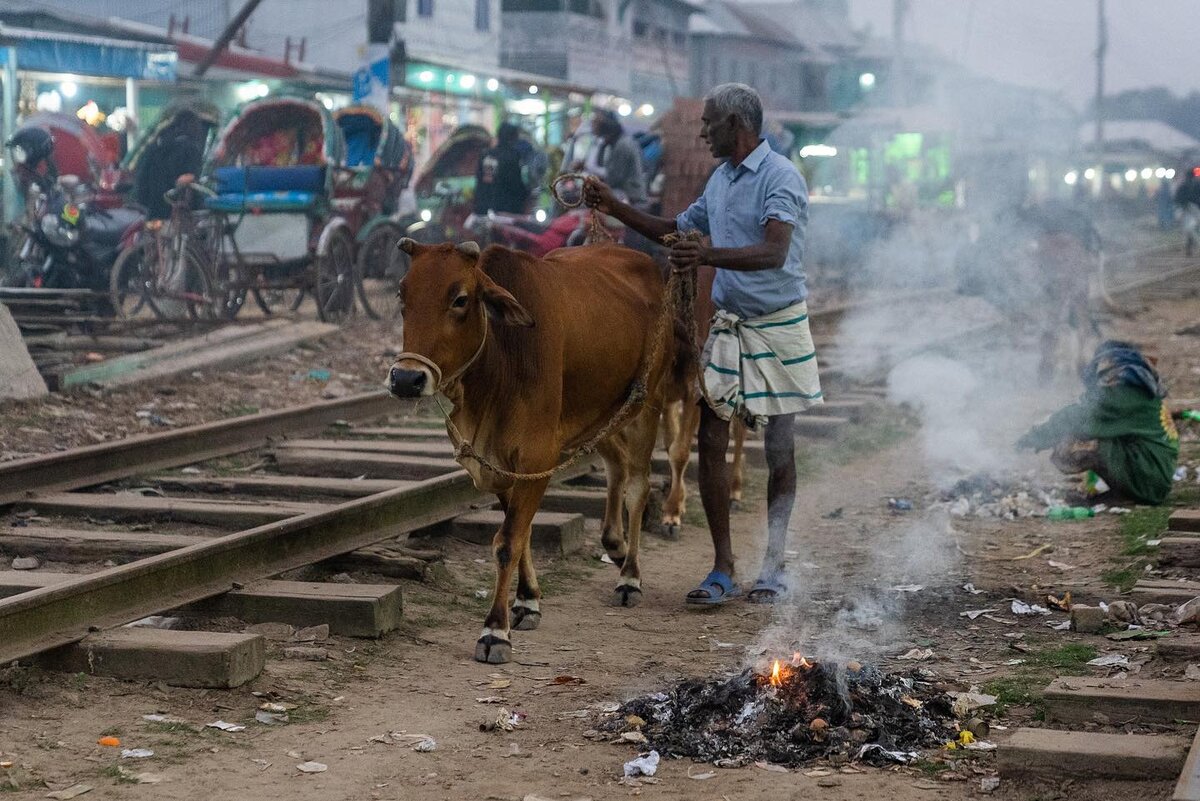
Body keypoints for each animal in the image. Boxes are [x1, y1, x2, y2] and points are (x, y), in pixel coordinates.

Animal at [391, 241, 676, 666]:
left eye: (460, 299)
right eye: (402, 295)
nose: (406, 379)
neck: (501, 358)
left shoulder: (537, 457)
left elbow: (508, 541)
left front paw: (495, 631)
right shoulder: (498, 464)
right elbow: (521, 532)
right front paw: (526, 602)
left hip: (647, 402)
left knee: (638, 486)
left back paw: (630, 577)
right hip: (599, 415)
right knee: (616, 467)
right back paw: (615, 545)